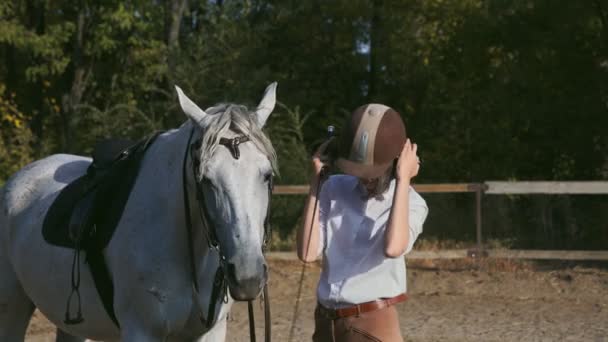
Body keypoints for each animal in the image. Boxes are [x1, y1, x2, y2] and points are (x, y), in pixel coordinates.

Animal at [0, 83, 280, 342]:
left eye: (266, 175)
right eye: (206, 179)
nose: (247, 275)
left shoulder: (211, 332)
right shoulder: (141, 331)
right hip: (12, 310)